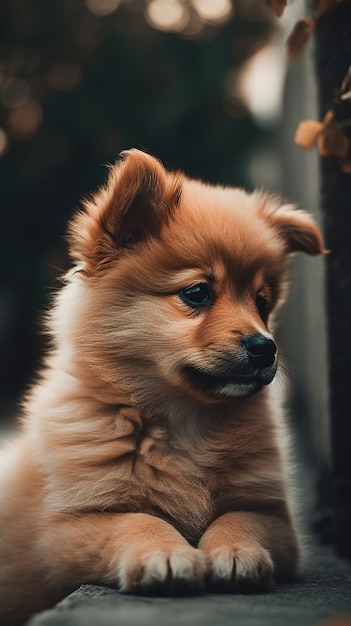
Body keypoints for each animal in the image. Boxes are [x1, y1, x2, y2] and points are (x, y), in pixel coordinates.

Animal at [0, 149, 326, 620]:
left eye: (262, 303)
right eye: (197, 293)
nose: (265, 348)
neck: (183, 422)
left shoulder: (272, 516)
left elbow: (238, 518)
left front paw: (235, 552)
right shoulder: (69, 527)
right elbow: (138, 520)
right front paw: (164, 555)